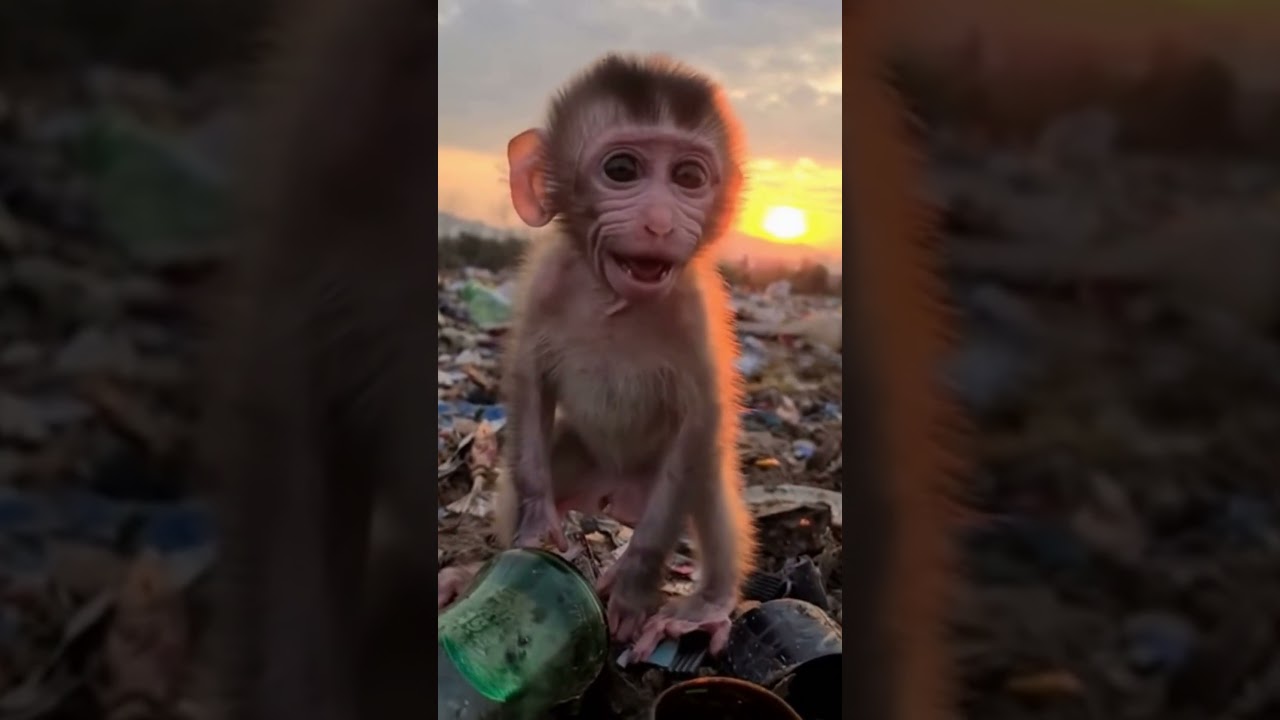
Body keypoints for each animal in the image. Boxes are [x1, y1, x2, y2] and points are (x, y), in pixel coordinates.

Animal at [436, 54, 758, 663]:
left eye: (688, 178)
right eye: (622, 170)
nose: (659, 221)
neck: (615, 300)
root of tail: (615, 497)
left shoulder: (695, 307)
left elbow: (703, 417)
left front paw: (633, 582)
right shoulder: (547, 279)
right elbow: (529, 381)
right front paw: (535, 523)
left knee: (704, 471)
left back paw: (705, 604)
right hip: (579, 460)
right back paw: (473, 573)